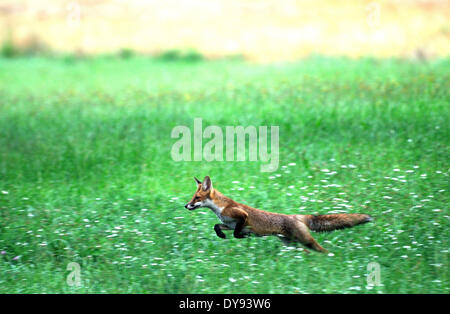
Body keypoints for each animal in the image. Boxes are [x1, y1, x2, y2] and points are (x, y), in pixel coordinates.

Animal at [185, 177, 374, 253]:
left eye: (196, 198)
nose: (186, 205)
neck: (220, 208)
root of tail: (296, 216)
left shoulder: (242, 217)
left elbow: (238, 233)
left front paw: (243, 237)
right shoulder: (229, 223)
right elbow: (217, 226)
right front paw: (221, 235)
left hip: (304, 240)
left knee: (322, 250)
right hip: (292, 244)